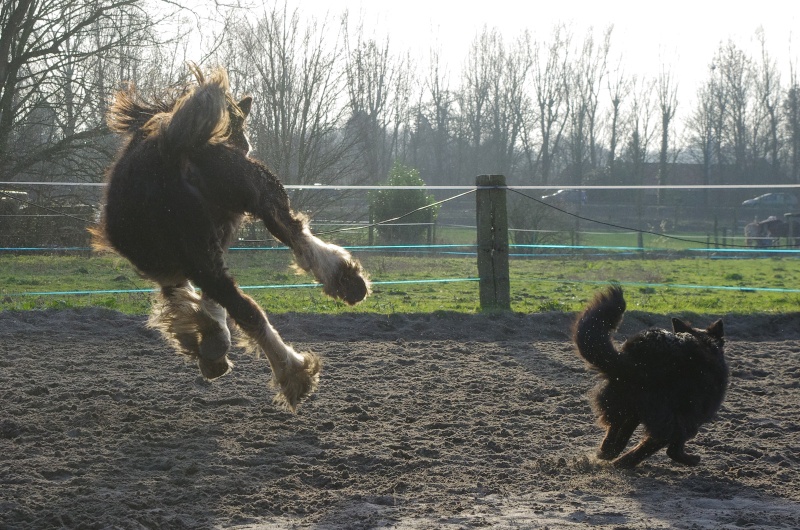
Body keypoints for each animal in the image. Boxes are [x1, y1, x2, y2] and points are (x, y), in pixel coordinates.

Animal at [93, 66, 372, 410]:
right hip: (257, 195)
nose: (246, 144)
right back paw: (340, 294)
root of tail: (175, 148)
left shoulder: (184, 266)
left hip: (217, 235)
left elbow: (193, 302)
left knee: (252, 292)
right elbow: (203, 302)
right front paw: (210, 344)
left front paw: (208, 343)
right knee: (291, 239)